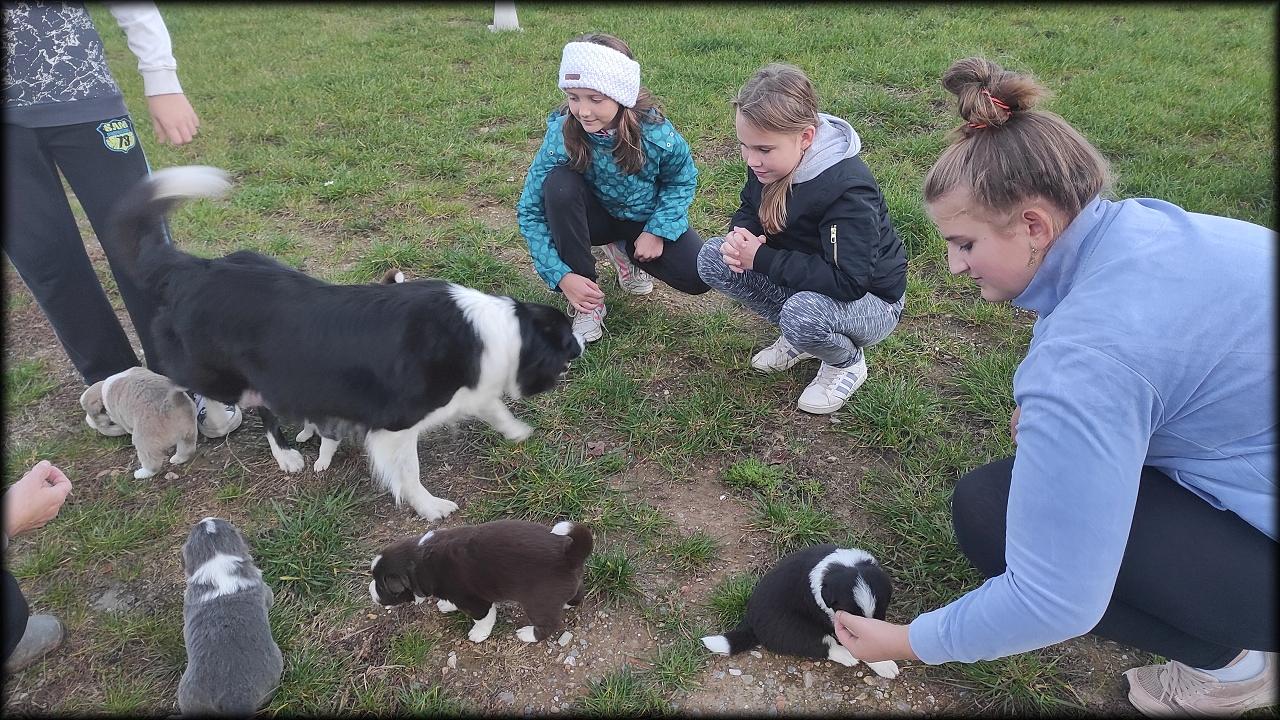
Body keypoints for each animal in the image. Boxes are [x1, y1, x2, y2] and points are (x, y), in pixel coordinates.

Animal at [110, 166, 583, 520]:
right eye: (565, 340)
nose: (582, 346)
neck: (490, 330)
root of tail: (192, 268)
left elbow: (490, 405)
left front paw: (515, 430)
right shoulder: (394, 428)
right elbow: (409, 474)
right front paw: (430, 507)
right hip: (227, 375)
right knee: (218, 392)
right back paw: (274, 448)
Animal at [369, 519, 592, 643]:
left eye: (381, 586)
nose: (371, 589)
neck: (420, 560)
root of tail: (568, 555)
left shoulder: (474, 601)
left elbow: (483, 617)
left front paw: (478, 634)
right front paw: (446, 605)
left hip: (538, 602)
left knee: (549, 624)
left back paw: (529, 635)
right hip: (570, 584)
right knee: (578, 593)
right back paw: (568, 603)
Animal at [701, 544, 901, 679]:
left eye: (880, 614)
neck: (842, 566)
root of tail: (750, 624)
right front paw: (883, 664)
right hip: (792, 629)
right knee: (818, 644)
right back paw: (846, 655)